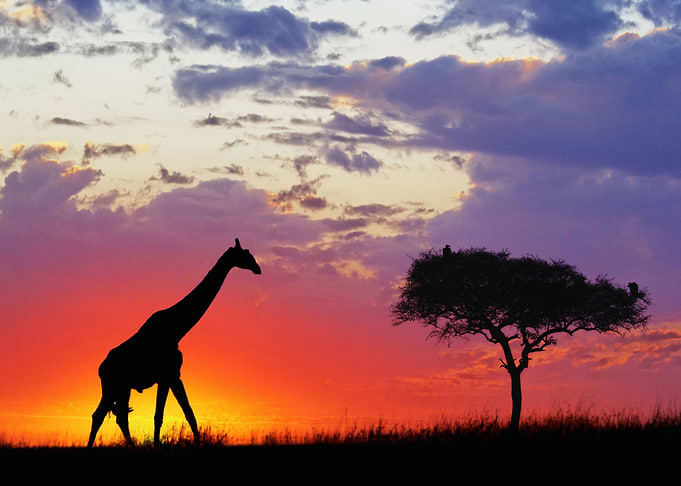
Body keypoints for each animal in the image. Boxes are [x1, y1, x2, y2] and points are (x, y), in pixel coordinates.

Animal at [87, 238, 261, 447]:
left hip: (122, 388)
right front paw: (157, 446)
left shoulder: (174, 375)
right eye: (245, 254)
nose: (257, 268)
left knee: (117, 416)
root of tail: (100, 369)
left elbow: (189, 412)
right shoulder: (165, 375)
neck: (176, 329)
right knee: (101, 415)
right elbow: (159, 416)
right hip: (113, 386)